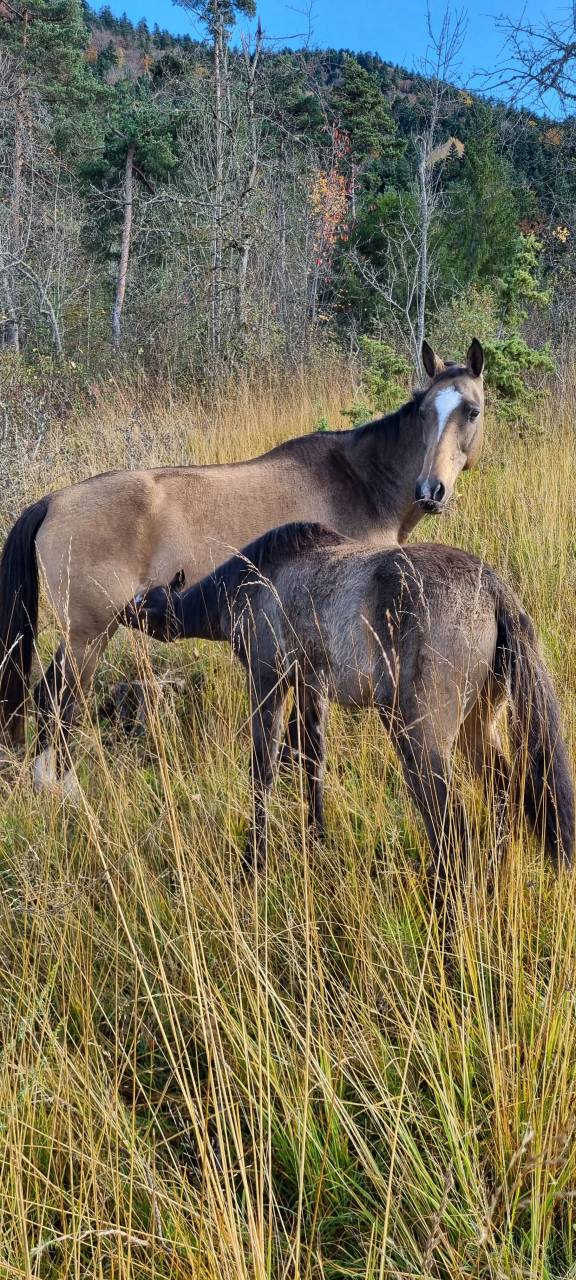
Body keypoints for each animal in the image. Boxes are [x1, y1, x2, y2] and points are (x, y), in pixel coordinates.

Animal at [0, 339, 485, 790]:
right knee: (57, 702)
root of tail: (53, 501)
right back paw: (63, 790)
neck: (358, 482)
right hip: (88, 636)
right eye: (425, 412)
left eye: (472, 411)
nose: (431, 490)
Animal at [120, 522, 574, 888]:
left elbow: (263, 771)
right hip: (474, 727)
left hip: (418, 739)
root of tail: (494, 591)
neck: (250, 582)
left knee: (451, 827)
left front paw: (254, 863)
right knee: (505, 791)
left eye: (147, 601)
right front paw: (316, 837)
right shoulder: (310, 687)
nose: (123, 611)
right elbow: (313, 760)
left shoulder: (267, 682)